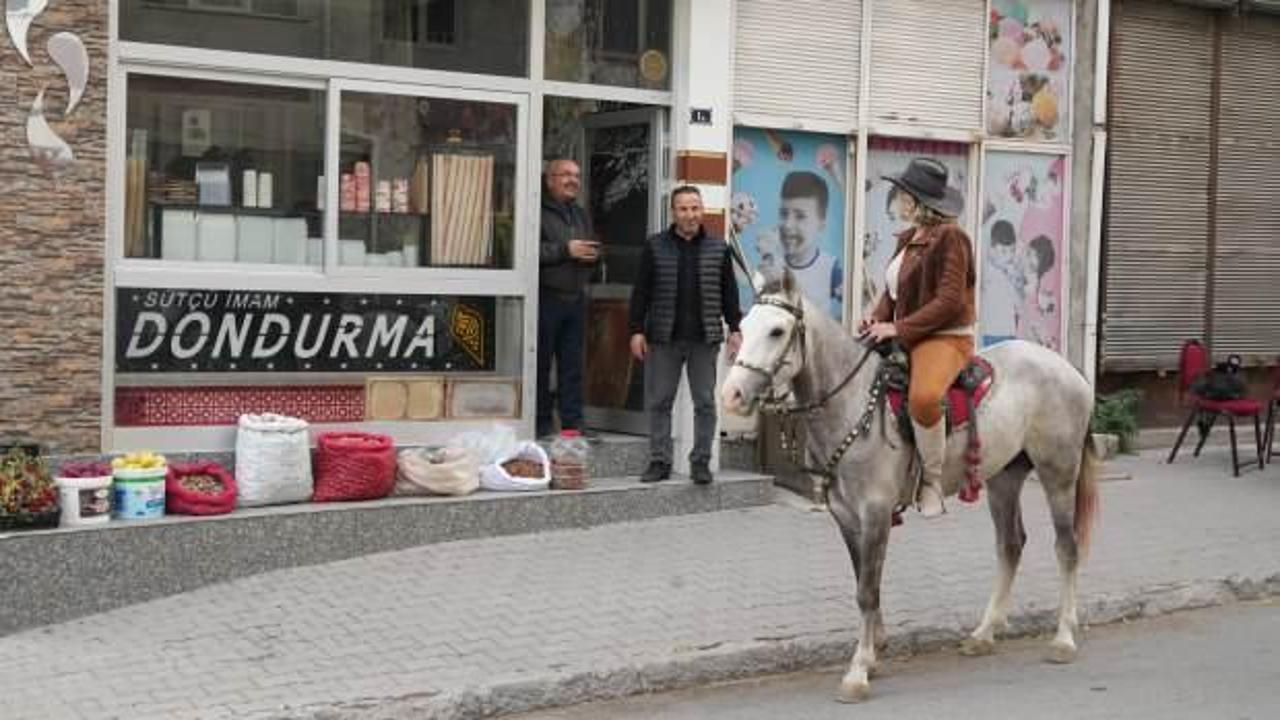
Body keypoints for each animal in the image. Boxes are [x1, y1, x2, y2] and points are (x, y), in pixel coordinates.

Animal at [721, 270, 1100, 702]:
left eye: (777, 330)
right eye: (744, 324)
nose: (731, 395)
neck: (854, 404)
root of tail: (1068, 369)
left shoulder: (875, 513)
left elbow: (867, 590)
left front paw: (857, 672)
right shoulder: (847, 517)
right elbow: (865, 581)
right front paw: (873, 654)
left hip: (1058, 473)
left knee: (1067, 548)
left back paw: (1063, 638)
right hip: (1003, 478)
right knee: (1010, 545)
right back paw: (984, 633)